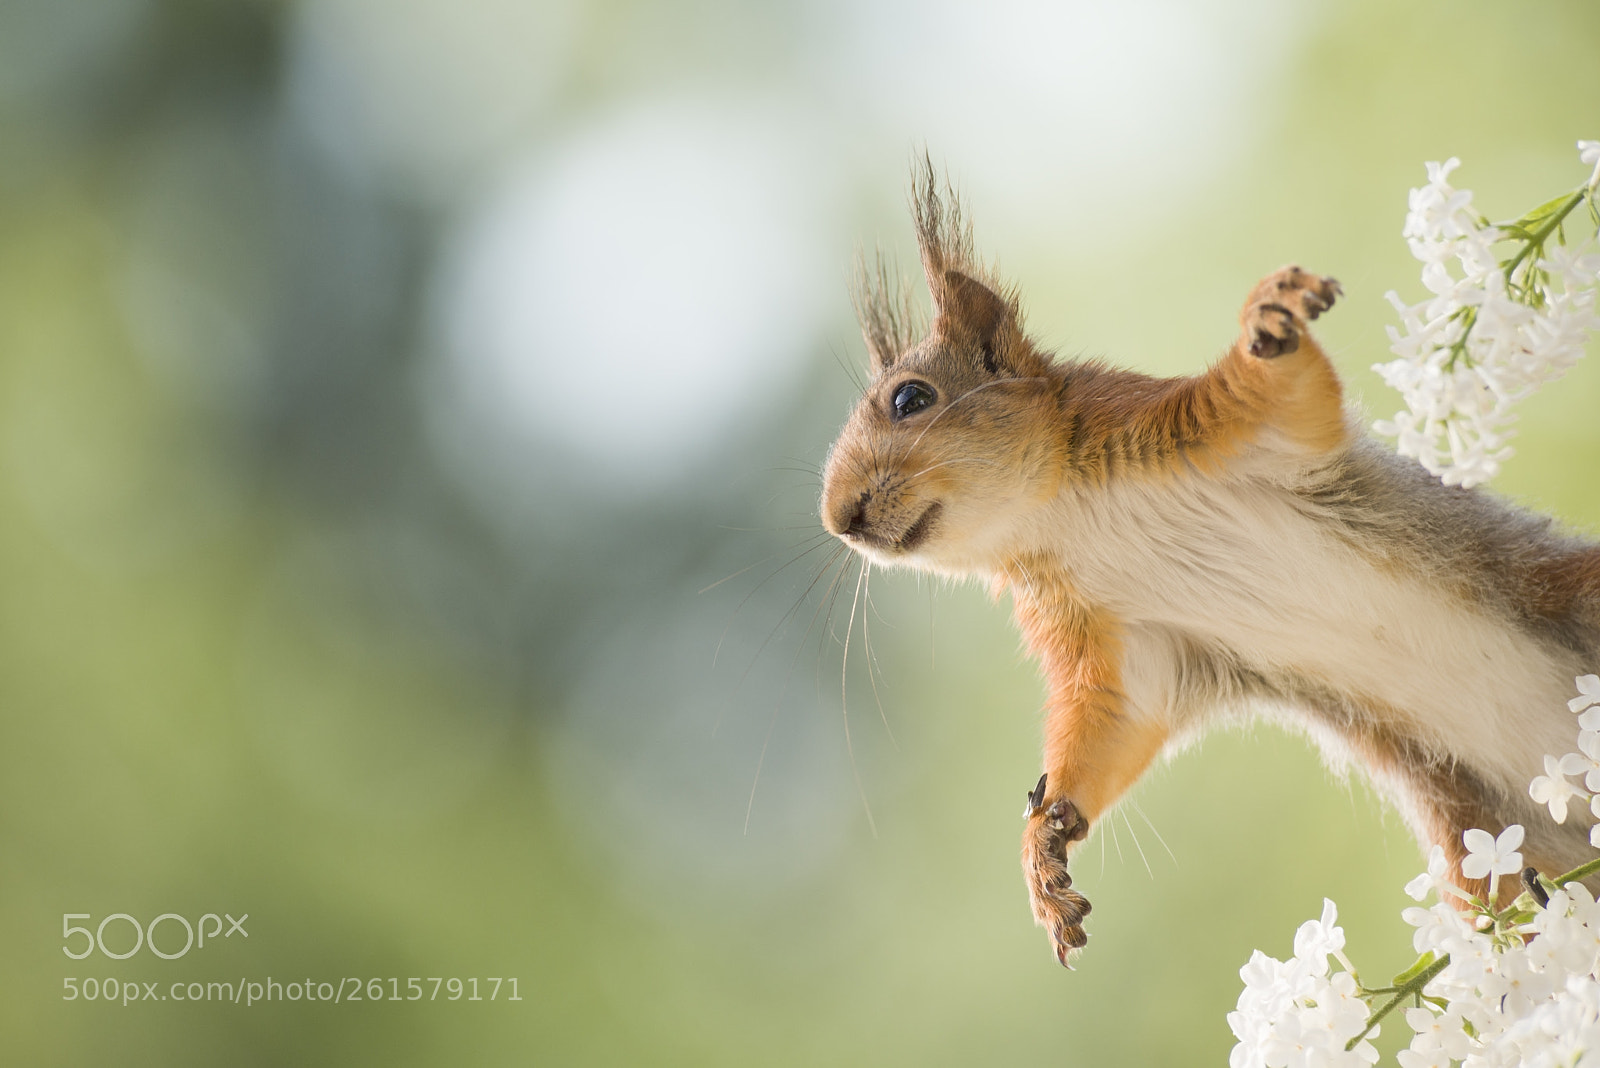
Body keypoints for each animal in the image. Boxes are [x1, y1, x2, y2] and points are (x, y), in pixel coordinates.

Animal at [819, 162, 1600, 966]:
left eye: (912, 399)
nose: (838, 519)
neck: (1058, 515)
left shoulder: (1199, 424)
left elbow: (1285, 396)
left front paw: (1270, 317)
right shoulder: (1119, 640)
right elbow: (1116, 717)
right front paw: (1044, 848)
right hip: (1481, 830)